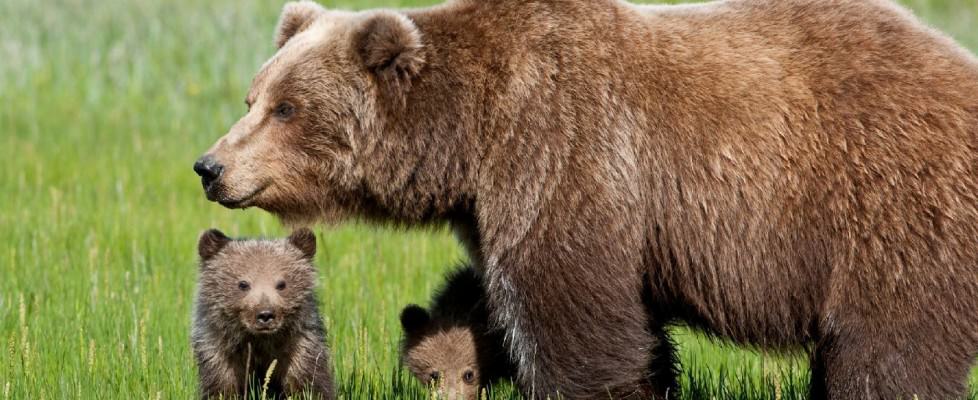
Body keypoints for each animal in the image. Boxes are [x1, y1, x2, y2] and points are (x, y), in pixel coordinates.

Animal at [194, 0, 976, 396]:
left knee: (888, 345)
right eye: (254, 95)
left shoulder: (564, 148)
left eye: (288, 107)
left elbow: (570, 309)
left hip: (887, 204)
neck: (471, 133)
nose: (210, 166)